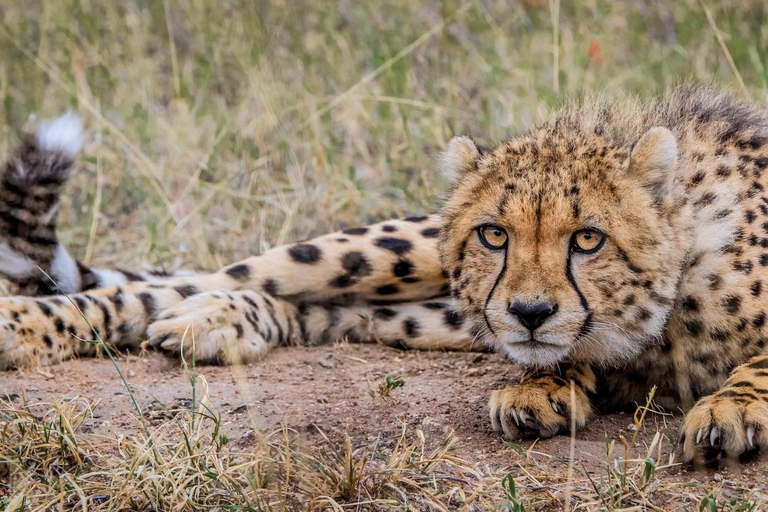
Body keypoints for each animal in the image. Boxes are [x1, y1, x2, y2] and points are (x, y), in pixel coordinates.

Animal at [1, 88, 768, 464]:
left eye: (588, 239)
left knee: (322, 310)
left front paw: (732, 407)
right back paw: (26, 326)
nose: (528, 312)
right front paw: (539, 386)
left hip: (427, 307)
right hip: (401, 250)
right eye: (495, 234)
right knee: (209, 277)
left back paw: (218, 323)